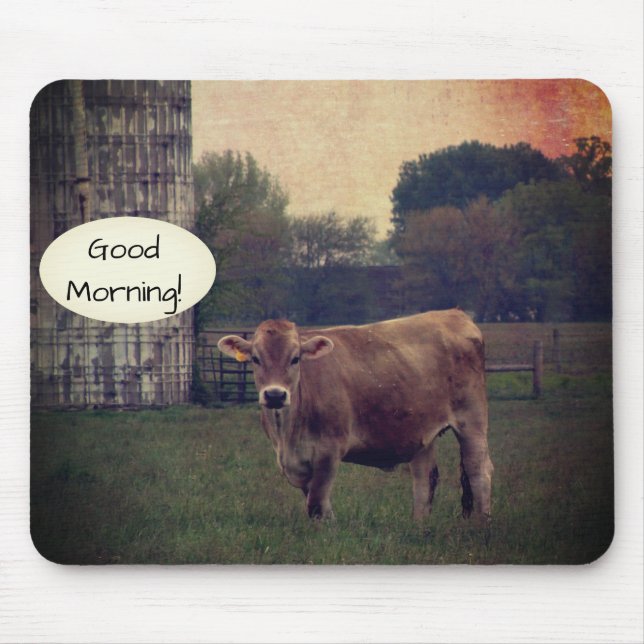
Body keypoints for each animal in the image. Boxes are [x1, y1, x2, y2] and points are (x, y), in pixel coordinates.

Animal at [217, 309, 493, 522]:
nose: (275, 395)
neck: (287, 433)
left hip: (472, 420)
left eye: (295, 358)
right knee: (425, 479)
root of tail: (455, 313)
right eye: (255, 358)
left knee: (478, 470)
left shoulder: (328, 452)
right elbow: (316, 503)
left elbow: (316, 503)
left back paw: (481, 523)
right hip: (421, 432)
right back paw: (418, 524)